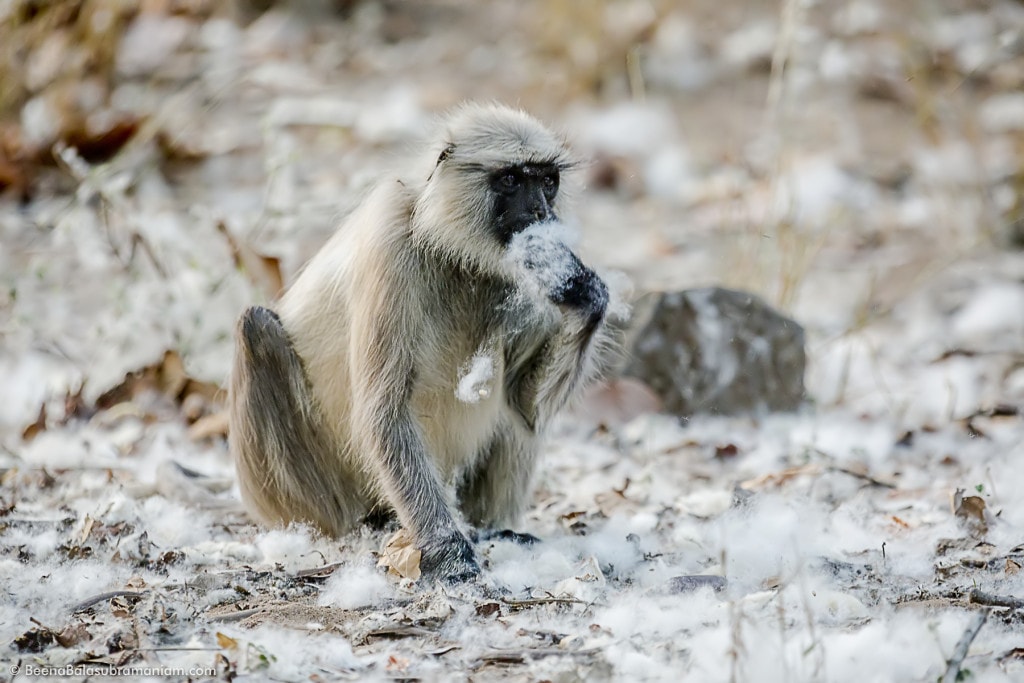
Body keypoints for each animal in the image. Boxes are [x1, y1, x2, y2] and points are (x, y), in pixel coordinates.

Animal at [230, 102, 614, 581]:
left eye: (547, 181)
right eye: (510, 179)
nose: (541, 210)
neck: (454, 250)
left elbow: (525, 407)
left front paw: (581, 291)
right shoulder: (390, 238)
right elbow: (383, 413)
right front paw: (450, 554)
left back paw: (494, 530)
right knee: (256, 326)